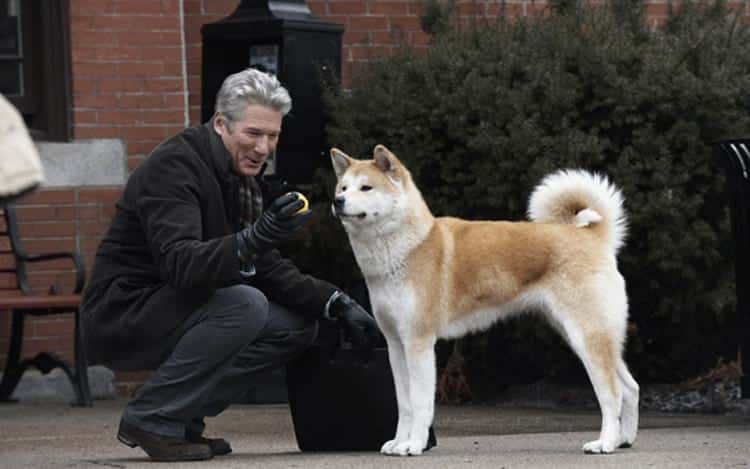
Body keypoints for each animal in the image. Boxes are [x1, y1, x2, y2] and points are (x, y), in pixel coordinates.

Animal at [332, 144, 644, 456]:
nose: (337, 201)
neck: (408, 247)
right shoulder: (396, 344)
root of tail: (593, 237)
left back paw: (605, 443)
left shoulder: (418, 342)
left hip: (587, 337)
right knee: (631, 388)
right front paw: (399, 442)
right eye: (343, 187)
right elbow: (404, 404)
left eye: (366, 187)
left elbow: (420, 404)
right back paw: (623, 439)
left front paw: (414, 445)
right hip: (588, 336)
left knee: (612, 393)